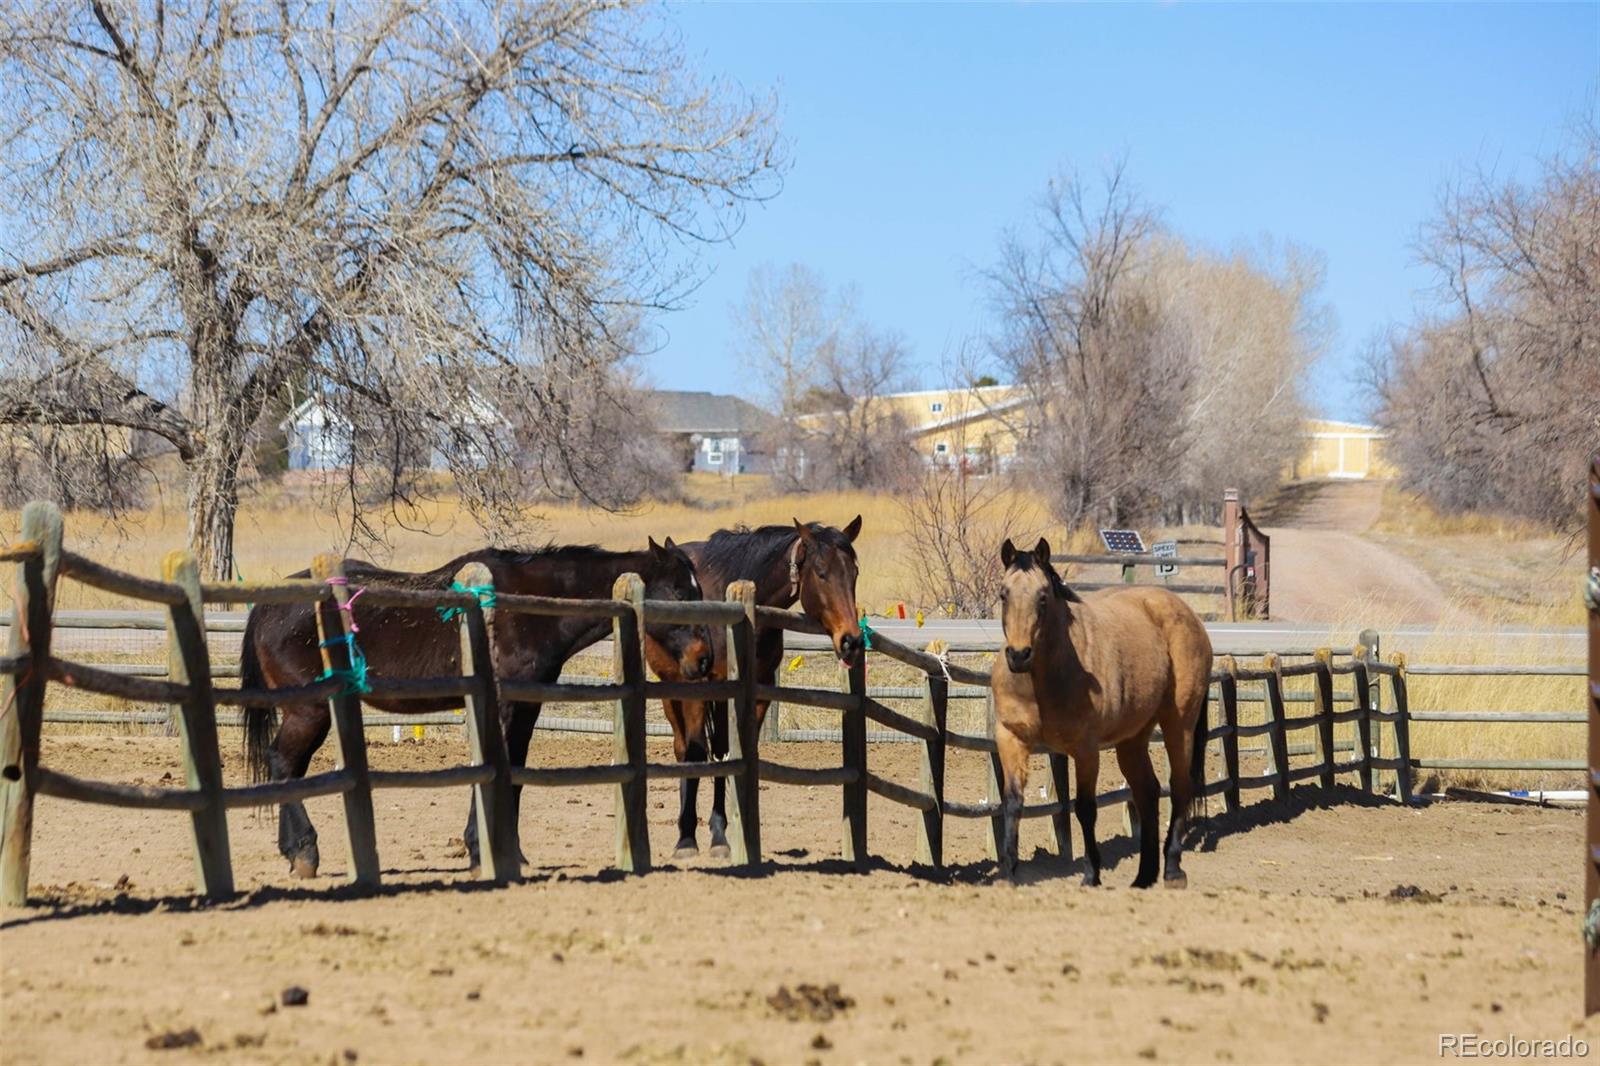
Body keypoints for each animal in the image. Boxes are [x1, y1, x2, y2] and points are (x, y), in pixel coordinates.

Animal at [238, 534, 713, 877]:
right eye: (678, 593)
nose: (704, 659)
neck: (528, 606)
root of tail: (266, 607)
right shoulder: (502, 705)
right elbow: (494, 770)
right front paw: (482, 849)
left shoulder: (526, 706)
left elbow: (515, 772)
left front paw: (509, 853)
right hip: (310, 710)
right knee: (284, 763)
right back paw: (304, 852)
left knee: (289, 769)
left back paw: (294, 853)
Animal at [643, 515, 864, 857]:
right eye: (822, 573)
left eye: (854, 573)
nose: (851, 641)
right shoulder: (699, 687)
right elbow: (695, 751)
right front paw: (686, 839)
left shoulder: (757, 691)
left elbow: (736, 752)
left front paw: (725, 833)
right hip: (672, 687)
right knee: (683, 748)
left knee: (720, 748)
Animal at [985, 534, 1209, 883]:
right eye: (1003, 594)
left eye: (1043, 597)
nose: (1019, 655)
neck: (1043, 679)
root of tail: (1187, 614)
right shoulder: (1011, 738)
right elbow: (1012, 803)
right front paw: (1008, 874)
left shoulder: (1085, 750)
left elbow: (1085, 809)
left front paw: (1092, 875)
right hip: (1133, 738)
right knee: (1147, 791)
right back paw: (1143, 877)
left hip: (1179, 724)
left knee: (1180, 788)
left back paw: (1172, 869)